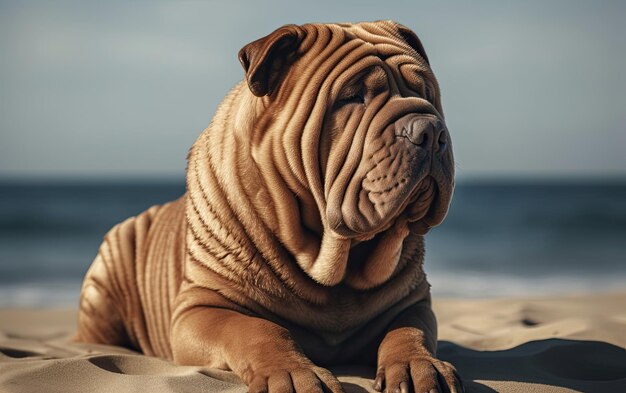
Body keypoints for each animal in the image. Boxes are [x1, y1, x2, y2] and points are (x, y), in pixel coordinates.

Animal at [77, 20, 458, 392]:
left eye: (427, 93)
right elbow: (257, 329)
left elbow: (408, 332)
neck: (333, 263)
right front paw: (294, 375)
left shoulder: (412, 302)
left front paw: (420, 367)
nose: (430, 131)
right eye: (352, 97)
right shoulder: (201, 307)